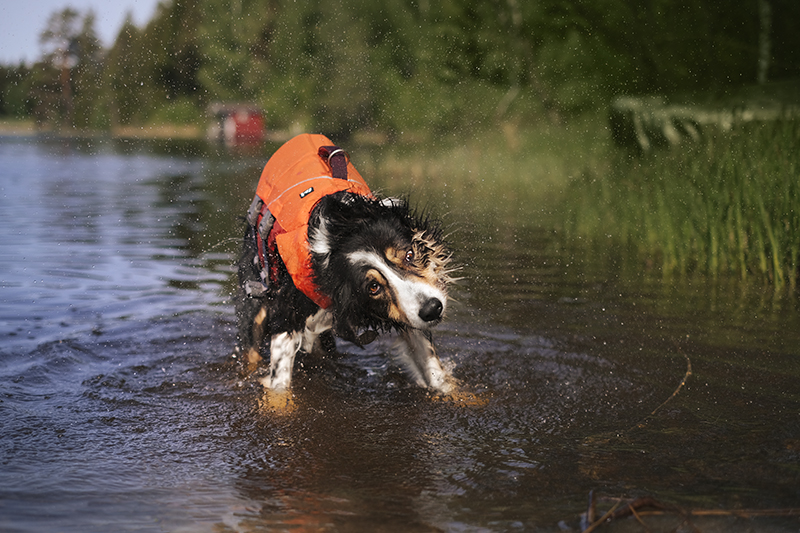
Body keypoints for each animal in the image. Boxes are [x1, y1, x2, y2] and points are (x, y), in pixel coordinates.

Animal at [234, 133, 454, 390]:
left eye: (410, 255)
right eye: (373, 287)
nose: (433, 308)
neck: (336, 239)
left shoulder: (410, 312)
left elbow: (434, 370)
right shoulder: (285, 315)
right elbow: (280, 382)